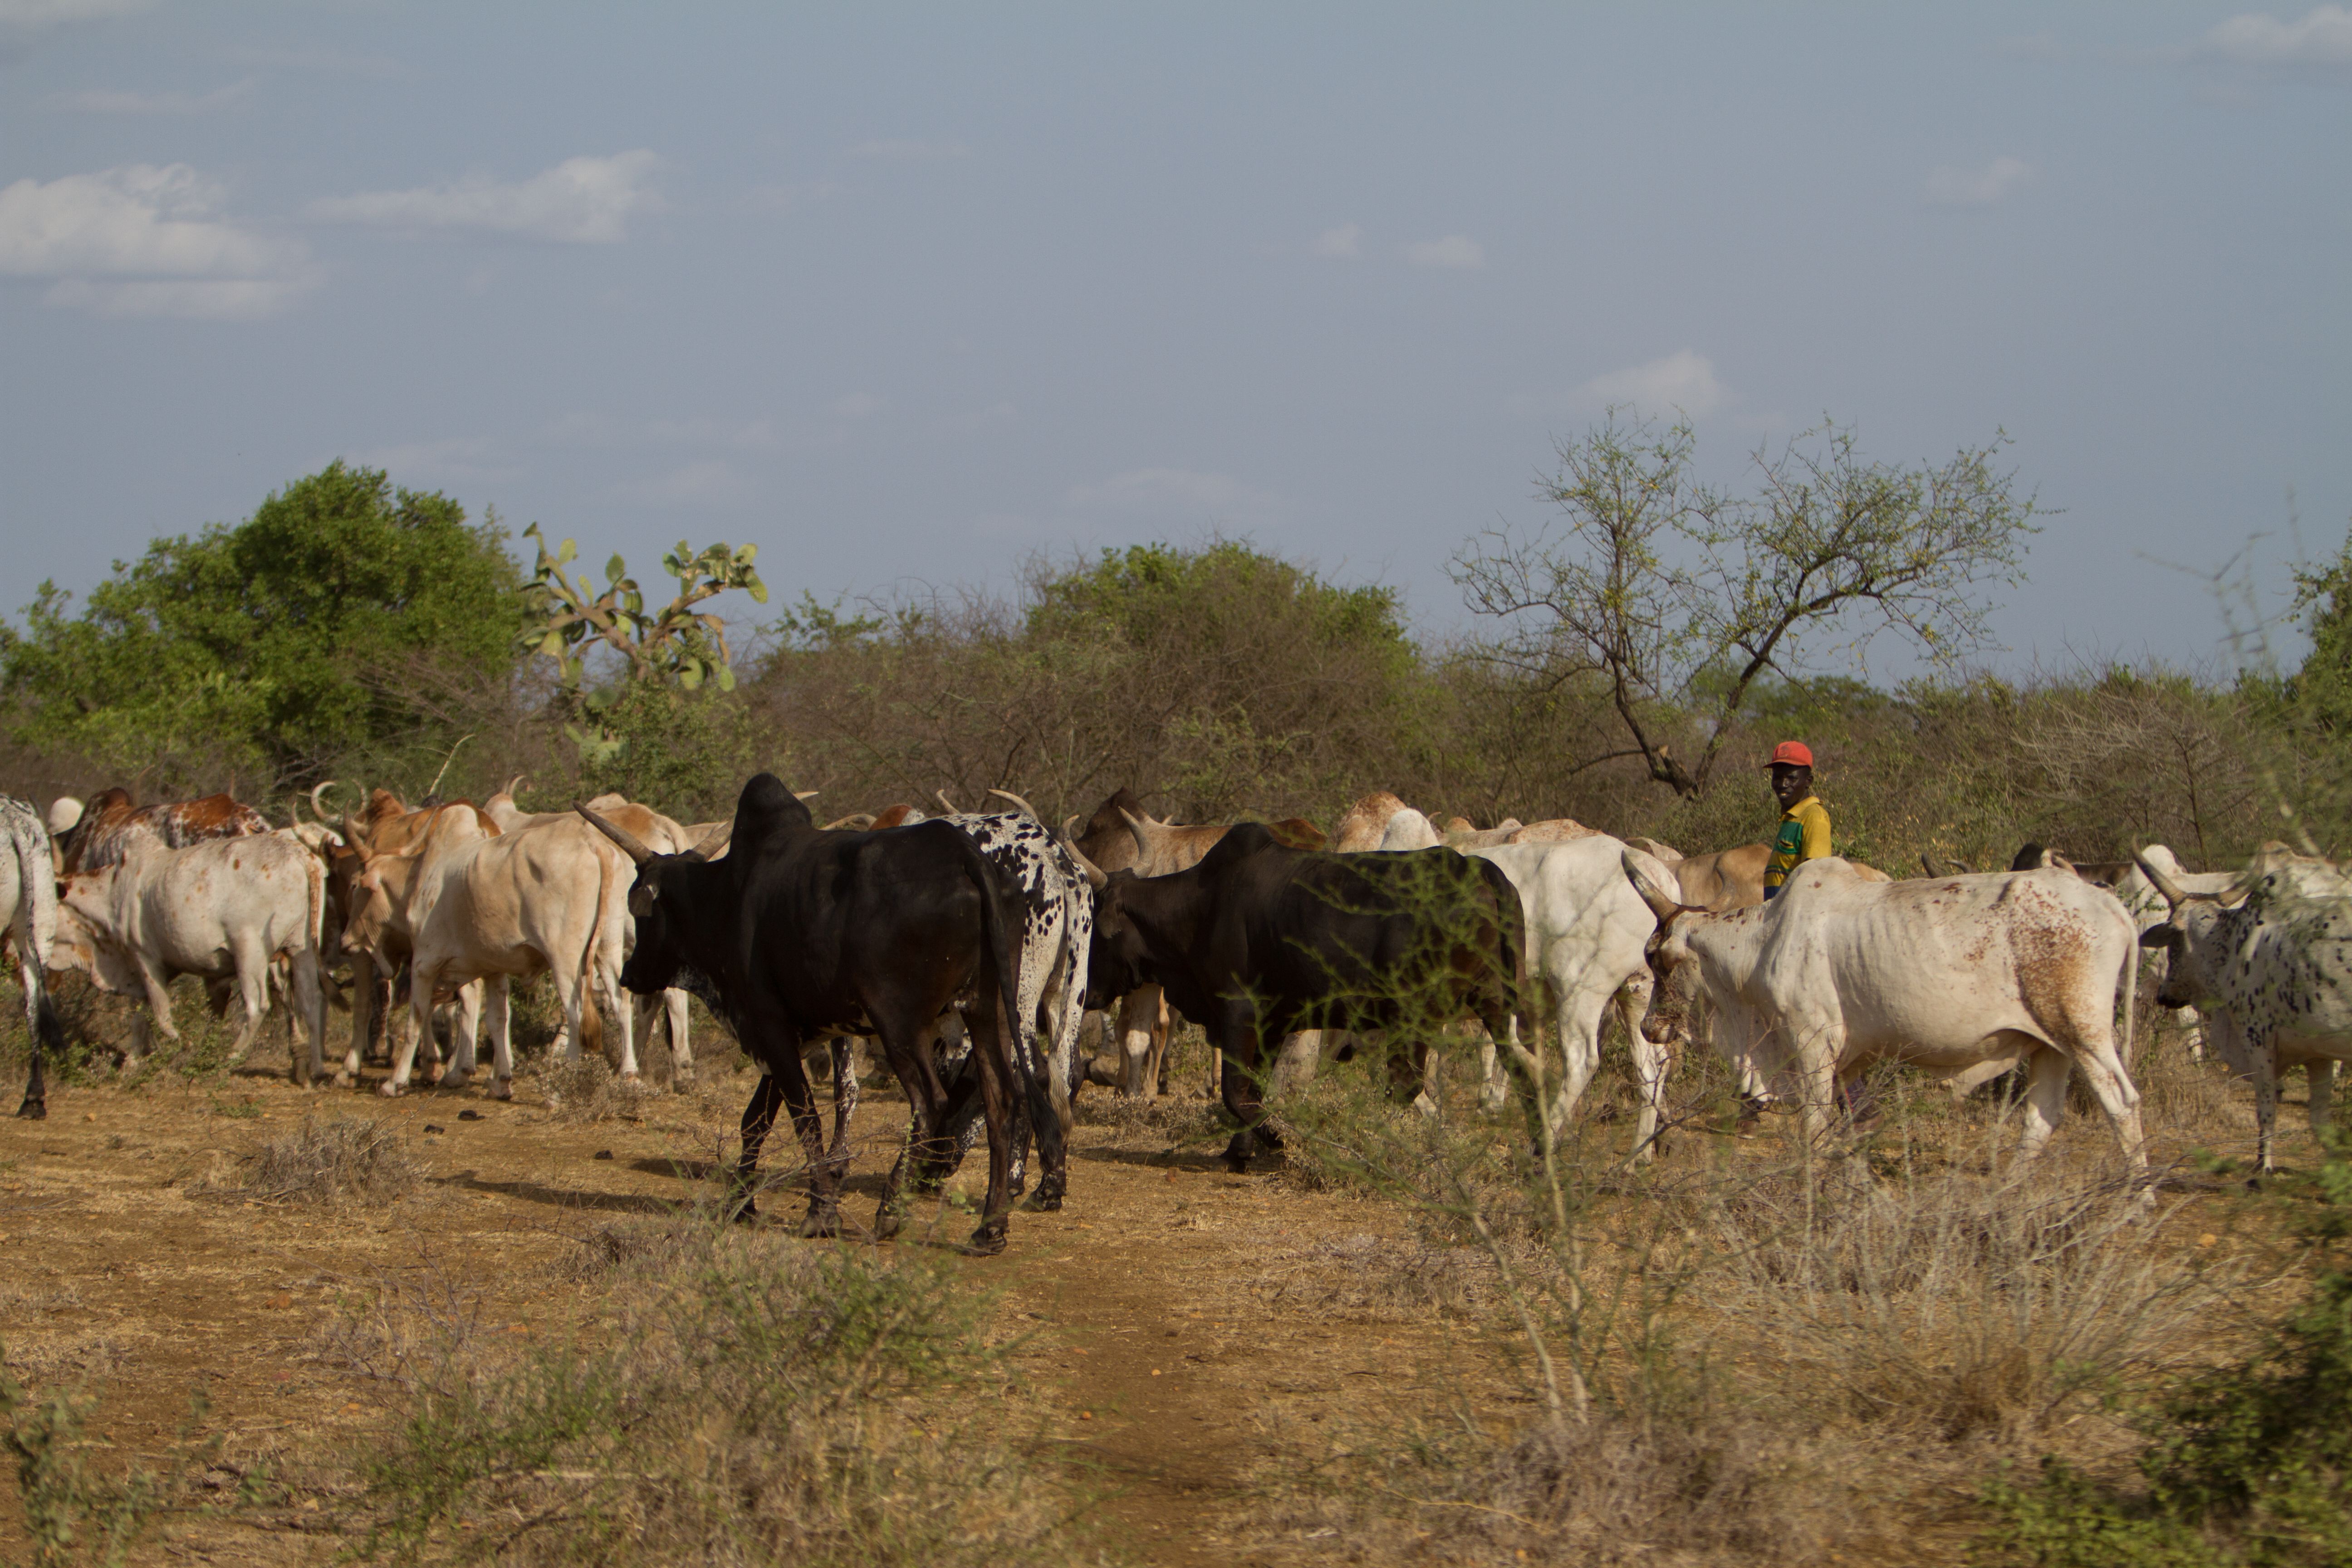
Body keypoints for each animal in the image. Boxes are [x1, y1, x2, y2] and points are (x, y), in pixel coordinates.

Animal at [50, 834, 329, 1084]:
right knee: (311, 999)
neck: (112, 893)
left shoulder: (145, 958)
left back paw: (226, 1059)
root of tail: (299, 854)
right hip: (300, 946)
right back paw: (316, 1070)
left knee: (258, 1005)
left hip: (250, 951)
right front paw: (132, 1064)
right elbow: (140, 1017)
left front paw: (186, 1050)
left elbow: (162, 1016)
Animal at [576, 774, 1046, 1254]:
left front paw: (820, 1214)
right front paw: (740, 1204)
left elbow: (805, 1119)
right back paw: (990, 1228)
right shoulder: (785, 1036)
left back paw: (890, 1213)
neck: (726, 897)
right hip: (989, 1011)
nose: (630, 974)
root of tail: (964, 856)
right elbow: (755, 1122)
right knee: (1001, 1099)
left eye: (641, 909)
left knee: (930, 1100)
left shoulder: (769, 1026)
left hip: (898, 1023)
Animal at [1081, 823, 1529, 1172]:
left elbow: (1236, 1093)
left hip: (1413, 1016)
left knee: (1404, 1085)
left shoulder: (1239, 1014)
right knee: (1524, 1071)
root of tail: (1481, 872)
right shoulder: (1271, 1025)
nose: (1087, 994)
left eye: (1093, 928)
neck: (1202, 906)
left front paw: (1283, 1140)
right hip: (1496, 1006)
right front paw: (1239, 1151)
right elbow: (1252, 1091)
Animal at [1622, 853, 2149, 1184]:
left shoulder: (1812, 1045)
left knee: (2122, 1102)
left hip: (2082, 1032)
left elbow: (1815, 1128)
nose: (1650, 1027)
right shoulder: (1848, 1061)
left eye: (1658, 960)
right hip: (2050, 1045)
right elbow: (1855, 1124)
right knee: (2043, 1117)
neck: (1765, 940)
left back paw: (2138, 1201)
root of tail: (2112, 905)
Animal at [2135, 849, 2352, 1173]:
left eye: (2173, 941)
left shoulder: (2257, 1039)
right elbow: (2319, 1122)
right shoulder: (2318, 1052)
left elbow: (2266, 1111)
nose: (2165, 996)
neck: (2234, 944)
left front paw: (2263, 1167)